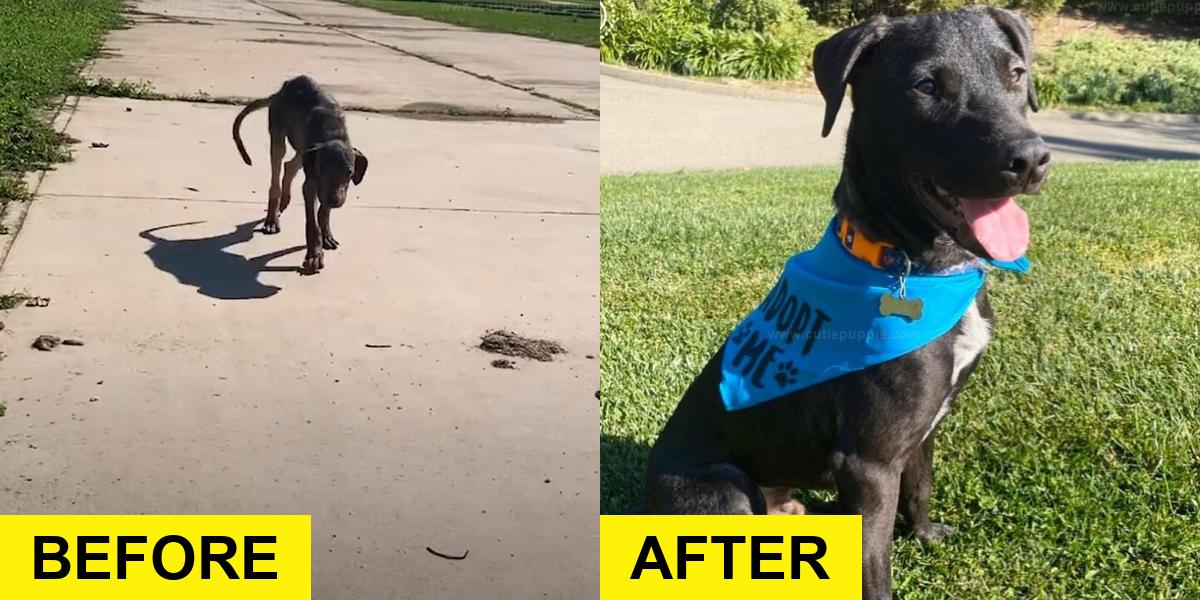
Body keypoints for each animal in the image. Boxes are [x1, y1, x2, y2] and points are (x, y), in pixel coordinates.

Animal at [231, 75, 364, 272]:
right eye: (323, 168)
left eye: (349, 172)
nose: (335, 201)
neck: (333, 133)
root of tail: (281, 91)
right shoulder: (312, 182)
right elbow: (312, 221)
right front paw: (314, 255)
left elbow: (323, 212)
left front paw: (326, 235)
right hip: (279, 136)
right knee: (277, 176)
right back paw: (272, 219)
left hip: (303, 152)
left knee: (290, 166)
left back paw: (285, 201)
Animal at [643, 7, 1046, 597]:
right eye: (926, 86)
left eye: (1016, 73)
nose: (1031, 158)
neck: (913, 267)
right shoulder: (868, 462)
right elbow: (874, 564)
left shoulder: (922, 429)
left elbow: (920, 487)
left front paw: (925, 534)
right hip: (725, 488)